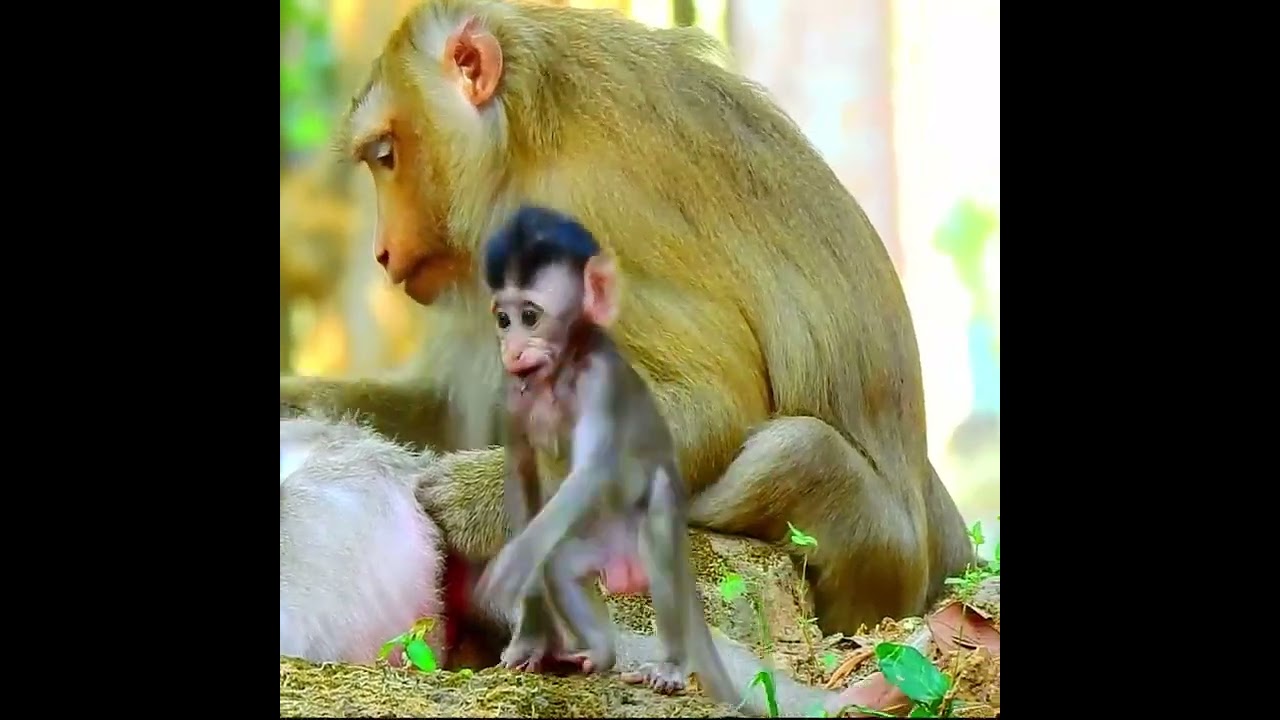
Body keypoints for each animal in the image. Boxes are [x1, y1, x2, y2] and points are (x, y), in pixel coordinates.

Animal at [281, 0, 975, 637]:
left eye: (386, 154)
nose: (382, 252)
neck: (521, 138)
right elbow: (452, 414)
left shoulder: (579, 218)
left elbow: (713, 404)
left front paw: (479, 500)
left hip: (877, 552)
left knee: (794, 448)